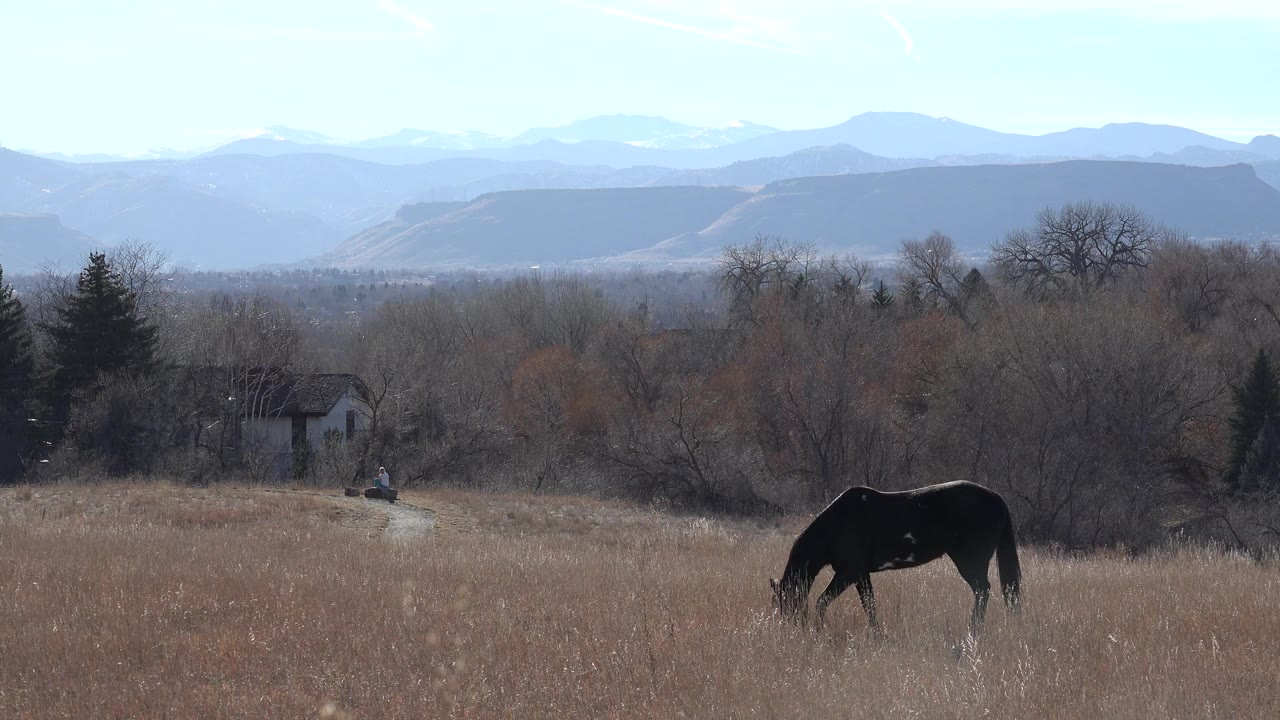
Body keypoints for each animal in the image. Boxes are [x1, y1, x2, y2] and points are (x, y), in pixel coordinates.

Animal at [770, 481, 1021, 634]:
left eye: (784, 601)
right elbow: (869, 605)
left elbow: (822, 601)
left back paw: (973, 631)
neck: (838, 524)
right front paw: (876, 635)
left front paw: (819, 629)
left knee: (982, 590)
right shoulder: (861, 575)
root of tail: (996, 498)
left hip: (970, 561)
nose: (788, 629)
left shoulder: (848, 573)